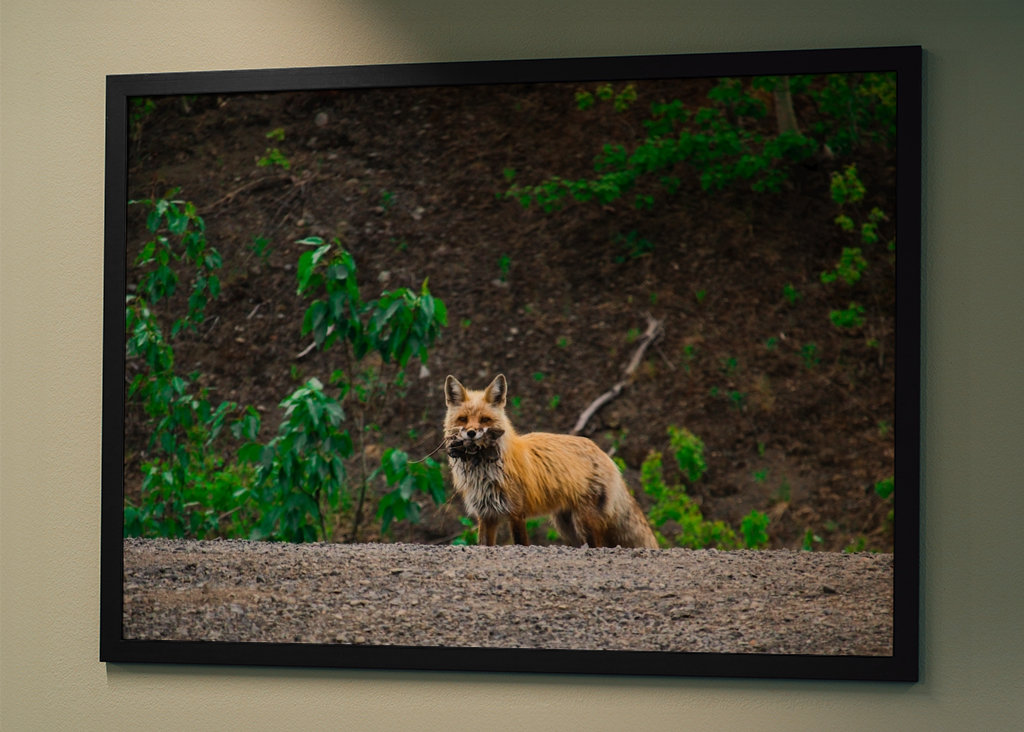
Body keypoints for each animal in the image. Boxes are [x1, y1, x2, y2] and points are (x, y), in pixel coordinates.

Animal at [443, 374, 658, 549]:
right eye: (463, 419)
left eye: (485, 420)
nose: (471, 433)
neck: (483, 472)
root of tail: (603, 453)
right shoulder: (486, 515)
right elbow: (484, 544)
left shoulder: (516, 512)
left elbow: (521, 543)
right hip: (567, 525)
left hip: (585, 521)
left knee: (598, 545)